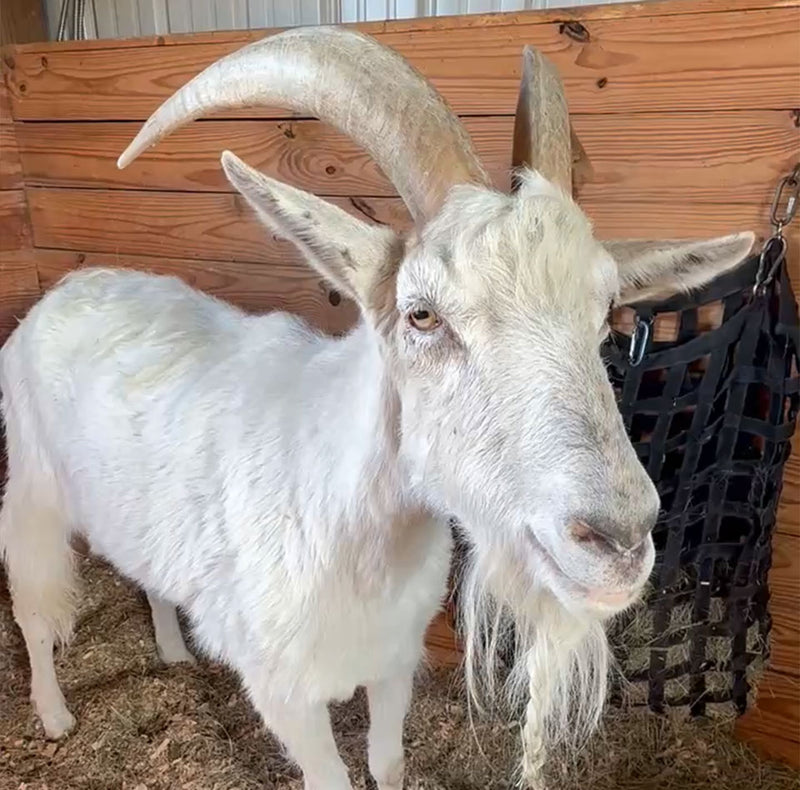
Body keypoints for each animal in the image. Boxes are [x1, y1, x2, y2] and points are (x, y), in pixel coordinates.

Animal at [0, 26, 754, 790]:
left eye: (607, 315)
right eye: (422, 314)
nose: (620, 541)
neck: (348, 531)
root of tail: (70, 287)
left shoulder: (395, 665)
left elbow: (388, 762)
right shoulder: (284, 693)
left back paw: (174, 651)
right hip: (32, 487)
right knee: (31, 601)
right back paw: (54, 715)